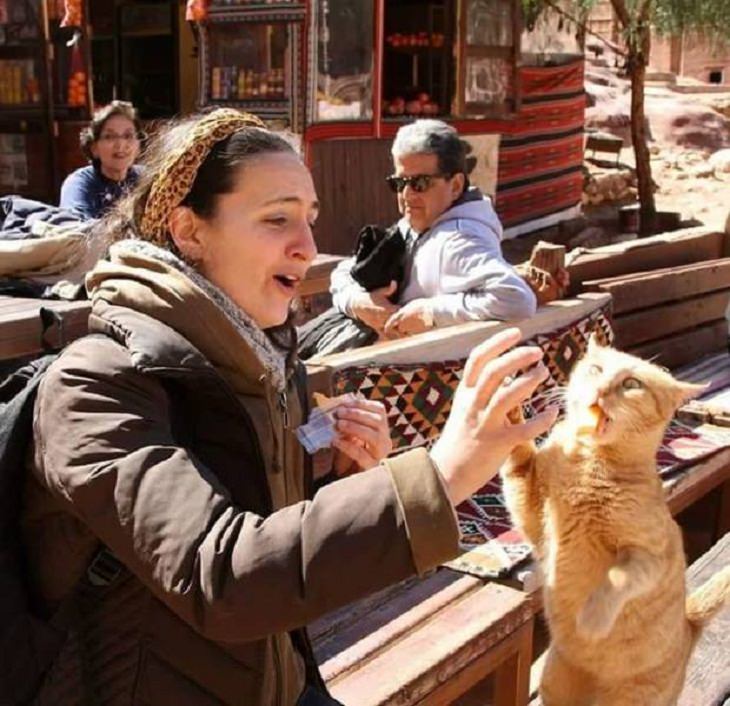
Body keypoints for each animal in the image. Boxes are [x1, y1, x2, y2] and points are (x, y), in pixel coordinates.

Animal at [498, 336, 728, 704]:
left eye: (631, 384)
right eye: (596, 369)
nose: (602, 389)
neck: (588, 463)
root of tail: (688, 626)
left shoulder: (649, 555)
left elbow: (617, 579)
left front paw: (592, 618)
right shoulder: (532, 515)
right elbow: (519, 457)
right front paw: (509, 410)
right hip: (555, 683)